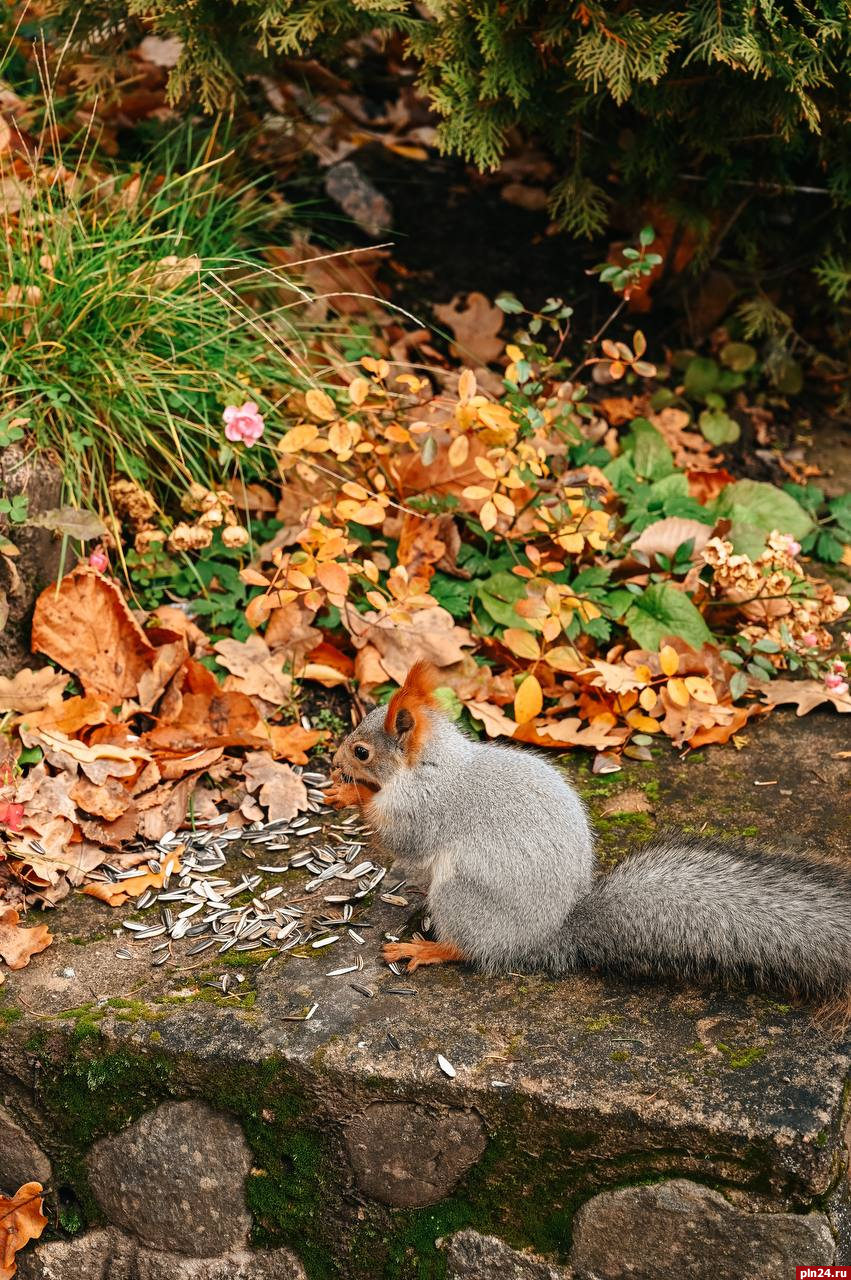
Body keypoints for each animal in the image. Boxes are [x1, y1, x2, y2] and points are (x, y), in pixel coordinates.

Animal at [326, 660, 849, 1008]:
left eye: (362, 751)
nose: (333, 760)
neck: (430, 765)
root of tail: (545, 936)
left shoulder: (426, 808)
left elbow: (402, 839)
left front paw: (352, 795)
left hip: (464, 895)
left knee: (469, 949)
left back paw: (424, 947)